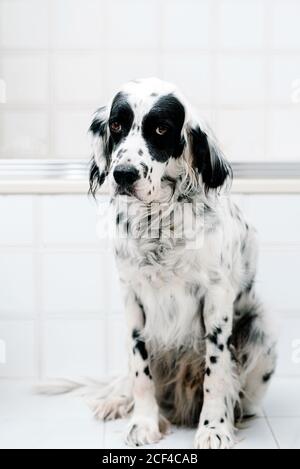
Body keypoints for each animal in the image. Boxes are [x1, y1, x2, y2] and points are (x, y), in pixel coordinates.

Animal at [42, 77, 276, 450]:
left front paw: (214, 428)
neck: (159, 223)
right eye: (117, 125)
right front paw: (143, 423)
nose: (122, 175)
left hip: (260, 332)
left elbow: (216, 373)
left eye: (161, 128)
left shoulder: (217, 300)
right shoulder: (132, 298)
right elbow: (140, 371)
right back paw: (115, 400)